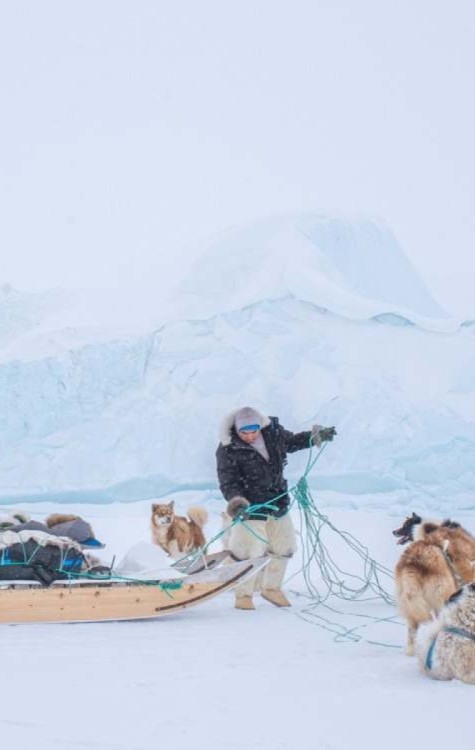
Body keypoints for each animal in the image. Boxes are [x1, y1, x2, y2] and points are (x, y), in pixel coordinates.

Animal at [392, 516, 475, 656]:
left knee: (412, 632)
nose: (394, 532)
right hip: (442, 598)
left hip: (410, 604)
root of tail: (413, 563)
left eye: (405, 525)